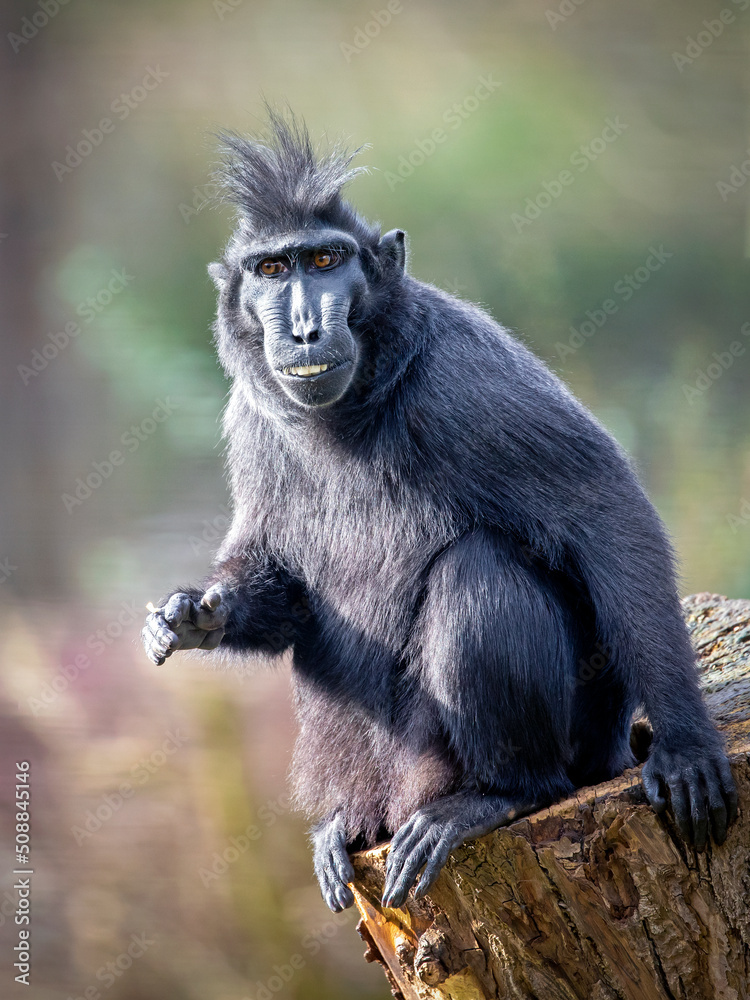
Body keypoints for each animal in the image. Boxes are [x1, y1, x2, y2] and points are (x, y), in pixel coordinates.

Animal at [142, 112, 737, 912]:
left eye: (325, 260)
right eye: (271, 271)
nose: (303, 330)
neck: (357, 403)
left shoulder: (467, 375)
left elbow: (608, 516)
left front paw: (686, 745)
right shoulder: (251, 420)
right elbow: (284, 587)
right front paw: (193, 616)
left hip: (572, 738)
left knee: (478, 567)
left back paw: (499, 794)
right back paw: (345, 824)